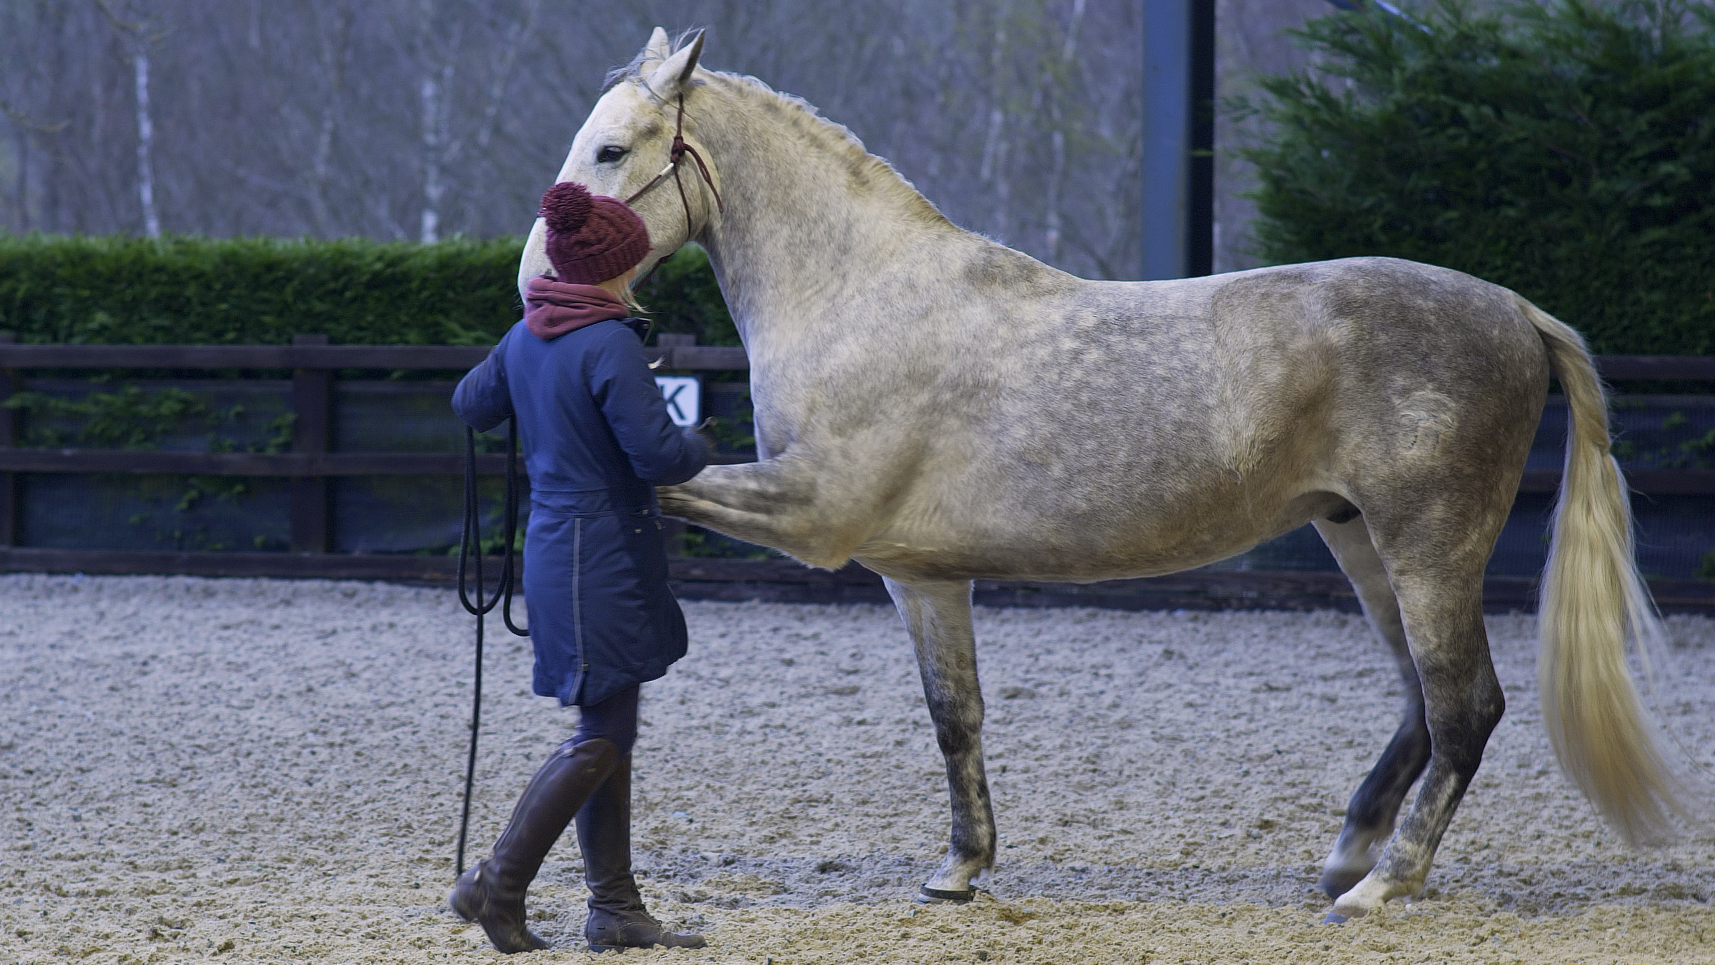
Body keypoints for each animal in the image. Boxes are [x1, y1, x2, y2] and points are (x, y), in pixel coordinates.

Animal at [519, 28, 1697, 921]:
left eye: (612, 150)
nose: (536, 282)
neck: (861, 296)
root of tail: (1513, 309)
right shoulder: (921, 573)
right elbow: (956, 714)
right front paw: (959, 869)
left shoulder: (812, 515)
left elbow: (664, 489)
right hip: (1357, 538)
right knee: (1419, 701)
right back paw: (1346, 855)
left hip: (1427, 546)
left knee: (1464, 708)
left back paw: (1382, 885)